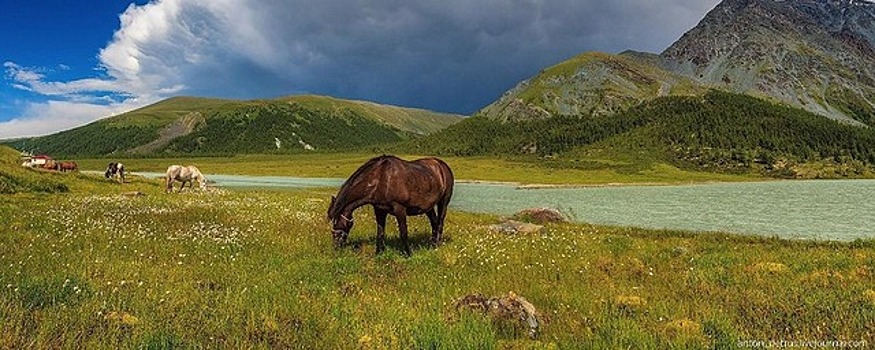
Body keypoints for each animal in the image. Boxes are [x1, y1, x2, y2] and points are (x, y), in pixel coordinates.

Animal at [326, 154, 456, 256]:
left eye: (338, 223)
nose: (336, 246)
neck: (381, 179)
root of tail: (442, 165)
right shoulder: (379, 210)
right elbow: (380, 232)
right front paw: (378, 253)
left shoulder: (400, 209)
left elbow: (403, 233)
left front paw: (408, 254)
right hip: (428, 207)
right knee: (434, 222)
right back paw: (433, 244)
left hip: (443, 202)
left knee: (440, 223)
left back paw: (437, 245)